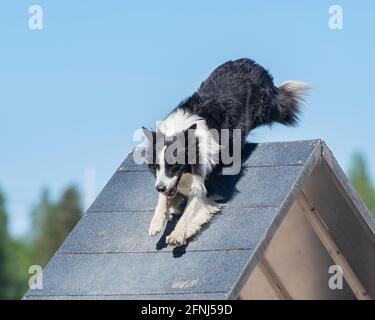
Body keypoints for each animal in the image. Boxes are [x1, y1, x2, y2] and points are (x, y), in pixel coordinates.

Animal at [142, 58, 310, 248]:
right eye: (156, 167)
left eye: (175, 166)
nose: (159, 187)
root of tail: (252, 62)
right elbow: (163, 199)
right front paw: (156, 223)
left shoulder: (205, 183)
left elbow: (190, 210)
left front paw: (177, 234)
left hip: (265, 108)